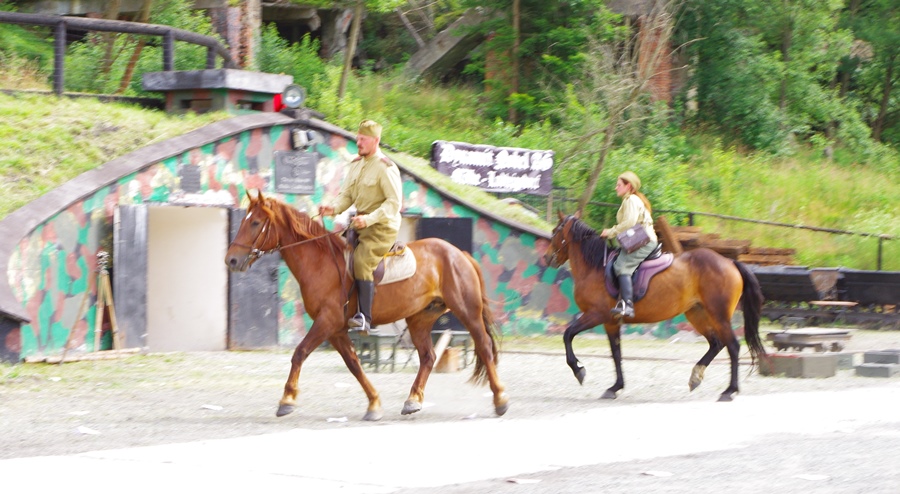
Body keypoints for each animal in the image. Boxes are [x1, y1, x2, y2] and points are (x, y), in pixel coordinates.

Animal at [222, 192, 510, 420]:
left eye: (255, 222)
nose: (231, 260)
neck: (321, 262)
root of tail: (460, 254)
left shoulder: (326, 322)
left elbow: (300, 353)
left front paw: (287, 400)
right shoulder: (336, 329)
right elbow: (354, 364)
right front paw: (374, 403)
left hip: (467, 312)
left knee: (484, 347)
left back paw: (500, 400)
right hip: (420, 319)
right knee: (428, 357)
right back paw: (413, 400)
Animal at [540, 212, 768, 402]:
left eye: (555, 232)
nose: (546, 257)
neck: (595, 267)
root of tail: (730, 262)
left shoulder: (596, 315)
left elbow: (568, 335)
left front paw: (579, 370)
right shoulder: (611, 321)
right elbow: (616, 354)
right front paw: (615, 387)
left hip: (718, 315)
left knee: (732, 347)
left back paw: (729, 391)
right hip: (697, 314)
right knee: (716, 343)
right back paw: (696, 377)